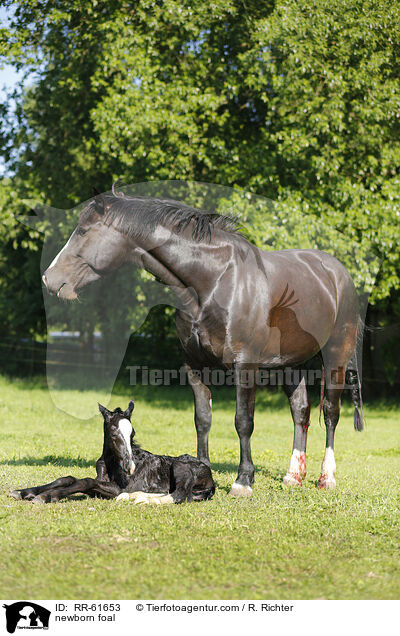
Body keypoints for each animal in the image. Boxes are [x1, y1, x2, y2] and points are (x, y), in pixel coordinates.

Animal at [10, 398, 216, 506]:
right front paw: (23, 492)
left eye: (132, 433)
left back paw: (140, 499)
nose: (130, 467)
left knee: (180, 494)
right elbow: (68, 479)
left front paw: (46, 496)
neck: (111, 464)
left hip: (181, 466)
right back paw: (136, 496)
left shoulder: (116, 488)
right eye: (114, 432)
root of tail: (211, 479)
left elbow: (85, 482)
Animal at [42, 191, 364, 494]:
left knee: (331, 413)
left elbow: (243, 421)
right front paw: (201, 469)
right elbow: (203, 419)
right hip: (290, 363)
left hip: (335, 357)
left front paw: (243, 481)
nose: (49, 279)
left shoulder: (245, 366)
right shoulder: (194, 366)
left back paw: (326, 478)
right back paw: (293, 476)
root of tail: (339, 274)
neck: (214, 281)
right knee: (301, 411)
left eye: (83, 231)